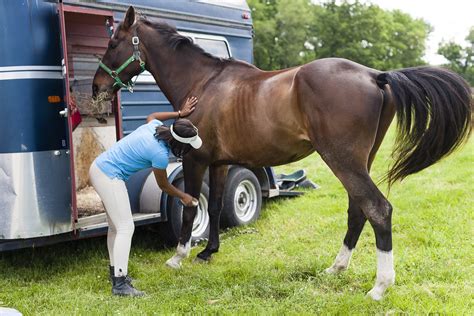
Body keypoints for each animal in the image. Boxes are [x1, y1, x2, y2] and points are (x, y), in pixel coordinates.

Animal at [91, 6, 470, 300]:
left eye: (112, 43)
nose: (96, 87)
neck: (205, 82)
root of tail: (376, 75)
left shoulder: (195, 159)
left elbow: (190, 207)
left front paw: (179, 256)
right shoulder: (220, 163)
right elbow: (214, 207)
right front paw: (209, 252)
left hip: (342, 160)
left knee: (378, 209)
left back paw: (379, 287)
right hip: (359, 162)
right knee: (357, 210)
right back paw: (336, 267)